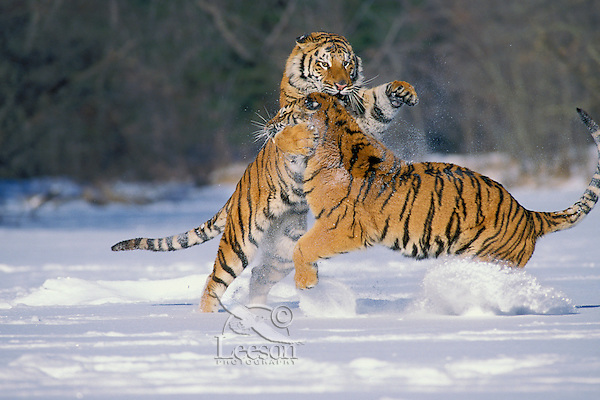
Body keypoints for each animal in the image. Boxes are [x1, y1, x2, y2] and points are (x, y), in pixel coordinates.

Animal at [270, 92, 600, 290]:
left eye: (285, 111)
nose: (269, 124)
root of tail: (528, 214)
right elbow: (303, 247)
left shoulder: (343, 226)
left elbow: (302, 247)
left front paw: (305, 284)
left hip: (491, 259)